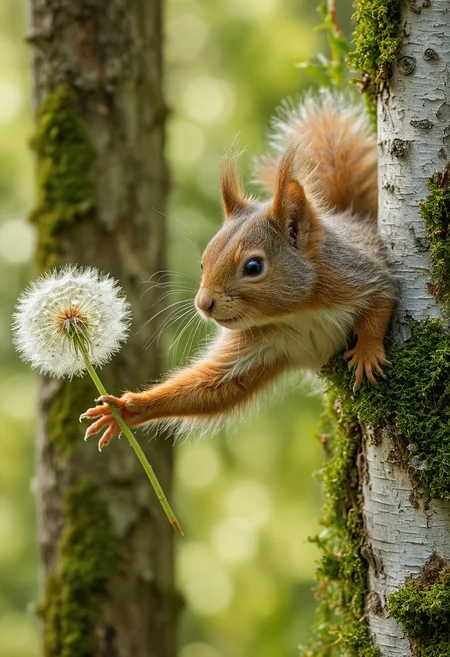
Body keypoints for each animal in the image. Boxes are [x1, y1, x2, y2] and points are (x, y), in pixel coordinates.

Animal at [82, 92, 396, 450]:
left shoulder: (357, 277)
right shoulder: (259, 346)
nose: (203, 304)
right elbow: (212, 387)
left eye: (253, 266)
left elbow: (382, 299)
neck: (297, 313)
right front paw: (128, 409)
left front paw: (368, 353)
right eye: (203, 261)